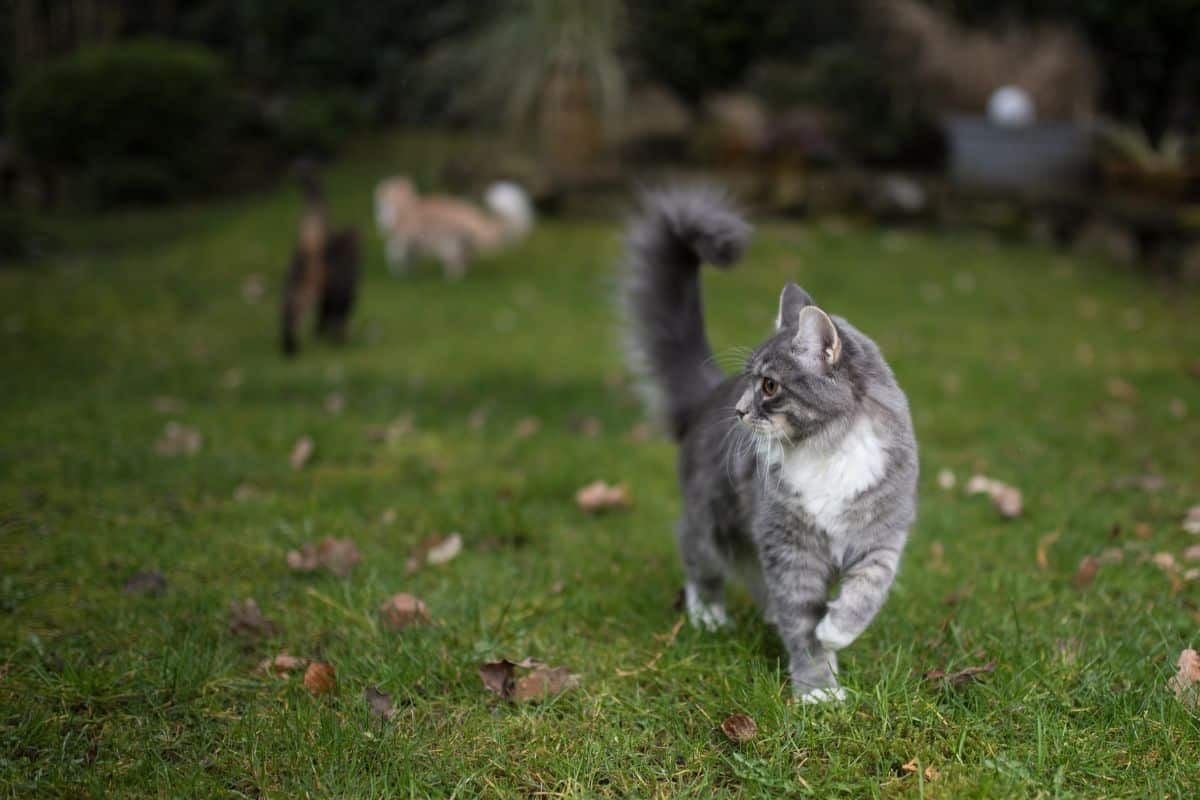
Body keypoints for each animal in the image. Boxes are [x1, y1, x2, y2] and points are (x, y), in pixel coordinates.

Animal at [369, 176, 530, 280]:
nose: (378, 194)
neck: (404, 204)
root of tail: (476, 218)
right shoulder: (413, 243)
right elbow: (409, 258)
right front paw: (409, 271)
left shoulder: (401, 239)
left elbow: (393, 254)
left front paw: (398, 273)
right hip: (461, 245)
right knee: (466, 260)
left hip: (447, 243)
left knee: (456, 264)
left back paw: (451, 280)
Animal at [624, 188, 912, 700]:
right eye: (749, 381)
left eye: (770, 386)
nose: (740, 410)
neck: (826, 449)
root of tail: (705, 399)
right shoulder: (788, 546)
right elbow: (801, 620)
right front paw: (817, 686)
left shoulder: (882, 535)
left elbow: (867, 591)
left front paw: (836, 631)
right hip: (715, 520)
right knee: (694, 550)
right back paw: (709, 613)